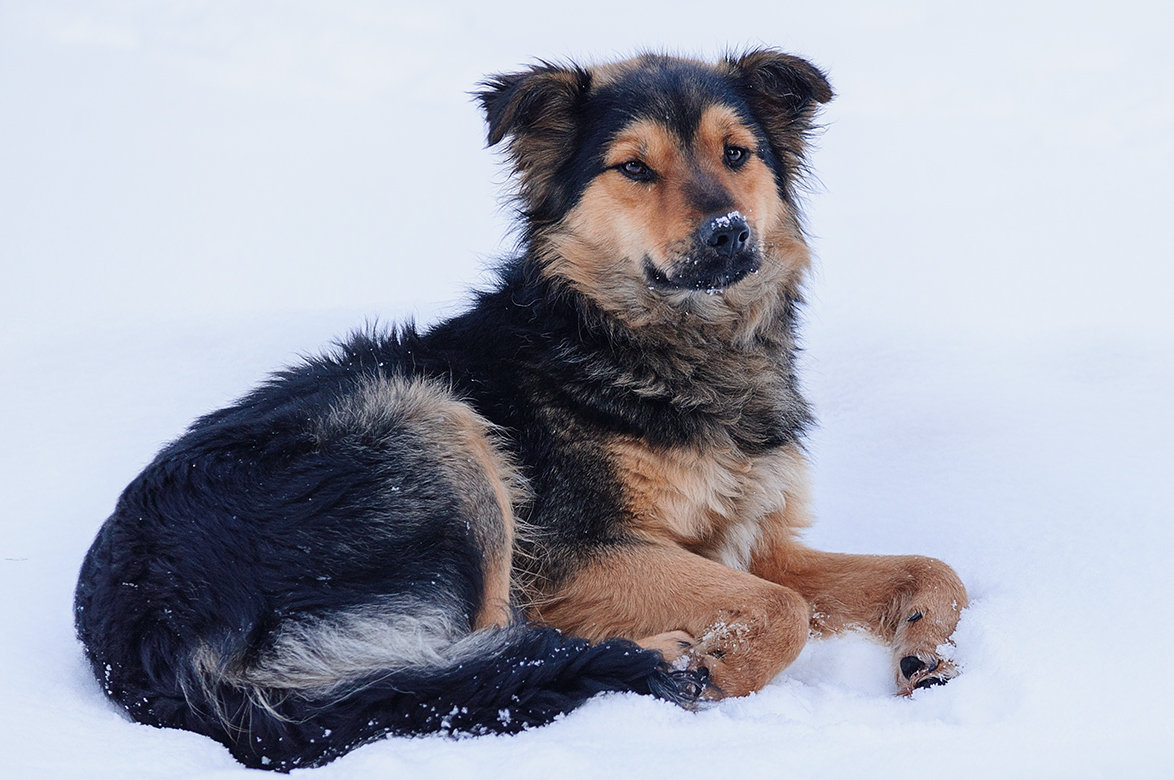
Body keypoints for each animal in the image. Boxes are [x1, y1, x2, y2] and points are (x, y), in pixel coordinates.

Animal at [75, 51, 972, 770]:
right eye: (634, 170)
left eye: (737, 154)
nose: (728, 233)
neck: (647, 344)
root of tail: (144, 633)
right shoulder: (578, 552)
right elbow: (779, 612)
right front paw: (715, 676)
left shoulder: (757, 543)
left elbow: (936, 570)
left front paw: (922, 651)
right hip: (439, 434)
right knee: (462, 669)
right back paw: (642, 663)